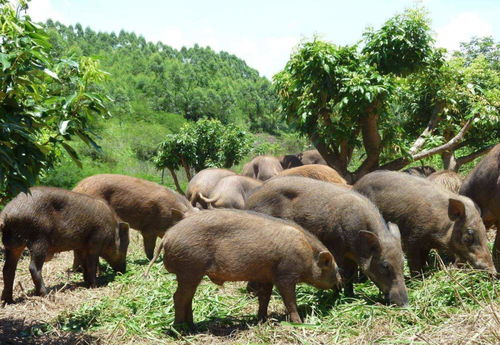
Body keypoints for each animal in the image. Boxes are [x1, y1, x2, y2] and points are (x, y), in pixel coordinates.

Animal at [0, 187, 129, 302]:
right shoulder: (95, 242)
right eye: (126, 246)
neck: (111, 231)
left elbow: (85, 265)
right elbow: (92, 265)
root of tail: (7, 213)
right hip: (39, 240)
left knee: (8, 269)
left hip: (12, 245)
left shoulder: (80, 247)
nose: (124, 270)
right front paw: (95, 286)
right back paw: (47, 295)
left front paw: (86, 282)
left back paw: (8, 301)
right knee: (33, 267)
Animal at [146, 208, 342, 324]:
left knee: (188, 297)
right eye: (334, 269)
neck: (307, 254)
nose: (340, 282)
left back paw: (192, 326)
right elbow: (289, 300)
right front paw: (299, 323)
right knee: (179, 297)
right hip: (189, 269)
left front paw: (262, 320)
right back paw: (180, 330)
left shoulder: (266, 276)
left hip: (190, 273)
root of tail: (168, 236)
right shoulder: (285, 274)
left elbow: (265, 298)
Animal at [245, 176, 406, 306]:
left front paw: (351, 297)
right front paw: (337, 297)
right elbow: (341, 273)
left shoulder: (351, 256)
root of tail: (250, 198)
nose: (405, 304)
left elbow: (350, 275)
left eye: (402, 263)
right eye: (385, 265)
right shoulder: (336, 247)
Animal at [354, 171, 494, 276]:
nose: (493, 272)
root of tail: (356, 184)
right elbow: (415, 263)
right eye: (469, 234)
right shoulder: (412, 239)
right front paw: (417, 279)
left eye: (484, 231)